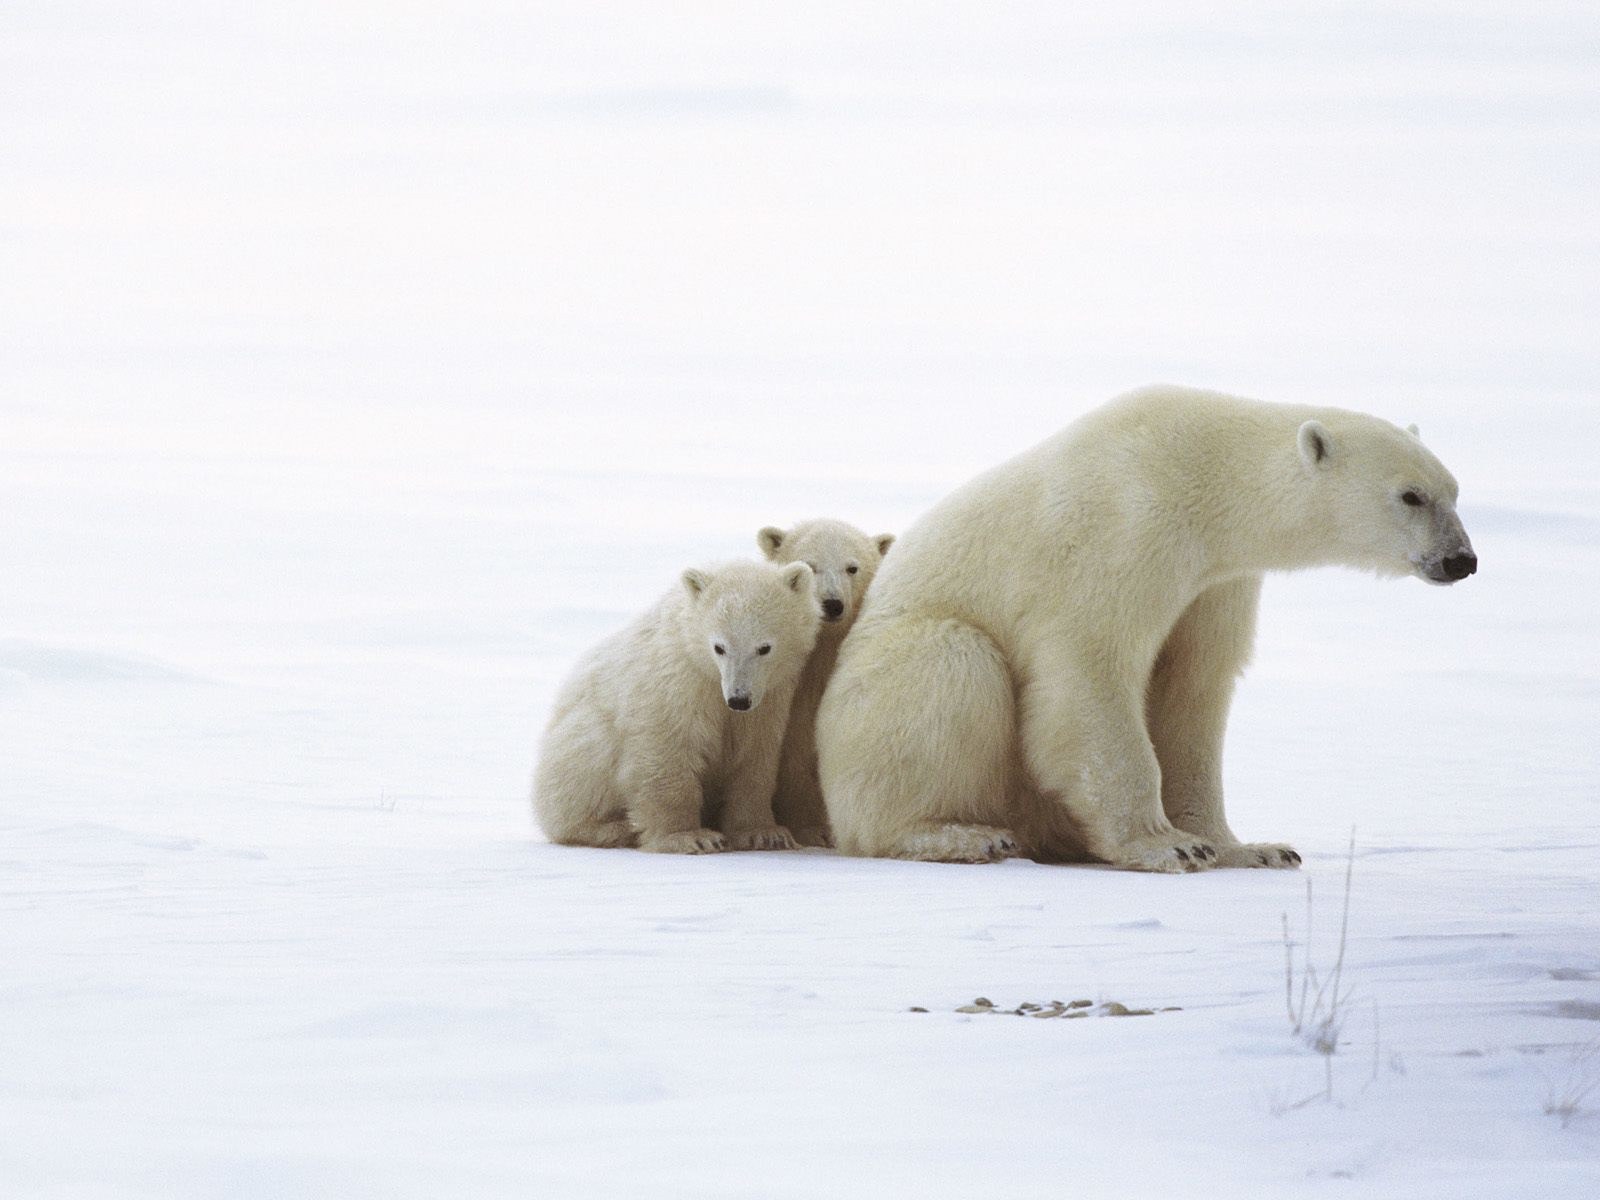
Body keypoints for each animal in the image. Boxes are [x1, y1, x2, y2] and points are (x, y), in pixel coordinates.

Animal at [534, 559, 820, 853]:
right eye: (719, 647)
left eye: (764, 648)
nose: (738, 699)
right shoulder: (676, 682)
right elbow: (667, 749)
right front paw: (692, 837)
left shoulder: (771, 698)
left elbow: (755, 758)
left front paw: (764, 834)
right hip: (579, 745)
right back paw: (615, 828)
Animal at [815, 384, 1477, 873]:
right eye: (1410, 495)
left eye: (1454, 490)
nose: (1461, 560)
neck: (1203, 474)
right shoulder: (1122, 533)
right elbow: (1090, 673)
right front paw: (1167, 845)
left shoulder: (1214, 581)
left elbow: (1194, 689)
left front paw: (1251, 847)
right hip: (882, 684)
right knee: (950, 665)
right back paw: (961, 835)